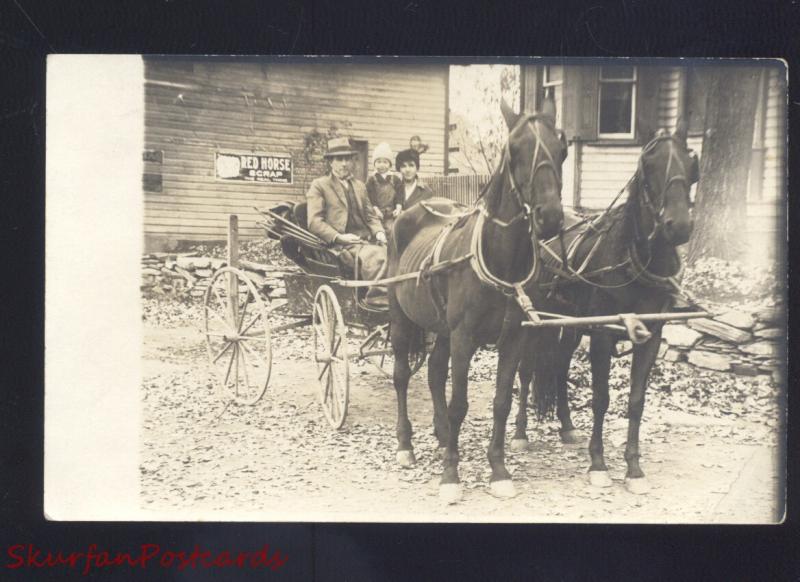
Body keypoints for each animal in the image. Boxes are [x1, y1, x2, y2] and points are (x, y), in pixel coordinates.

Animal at [388, 98, 568, 504]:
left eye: (562, 148)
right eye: (514, 150)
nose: (549, 216)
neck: (500, 259)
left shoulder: (513, 337)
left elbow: (501, 402)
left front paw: (498, 469)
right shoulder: (464, 337)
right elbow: (460, 404)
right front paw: (450, 475)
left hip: (440, 327)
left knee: (434, 371)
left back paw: (441, 437)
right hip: (401, 317)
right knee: (402, 375)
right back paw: (405, 444)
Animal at [516, 121, 696, 496]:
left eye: (690, 164)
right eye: (649, 167)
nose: (679, 225)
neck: (632, 259)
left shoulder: (650, 337)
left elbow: (636, 401)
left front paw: (634, 468)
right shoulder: (601, 335)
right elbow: (601, 398)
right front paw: (598, 463)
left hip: (570, 325)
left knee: (559, 368)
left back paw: (567, 426)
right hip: (535, 322)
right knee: (525, 372)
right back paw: (521, 432)